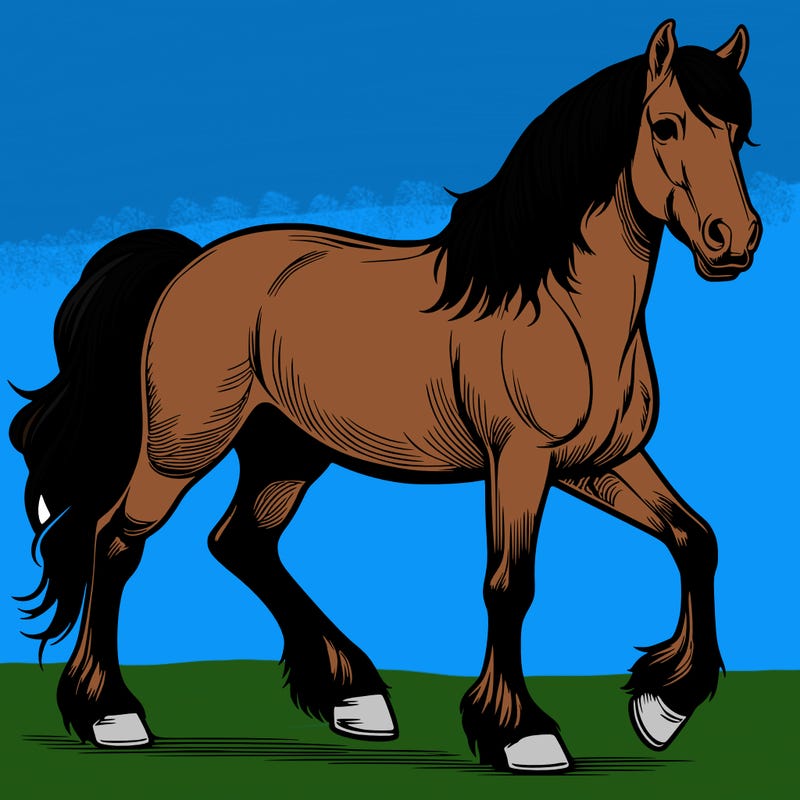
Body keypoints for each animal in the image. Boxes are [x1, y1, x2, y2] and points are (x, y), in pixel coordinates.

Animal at [10, 20, 760, 773]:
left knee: (241, 542)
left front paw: (663, 706)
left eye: (740, 132)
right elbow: (509, 584)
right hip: (182, 446)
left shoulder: (598, 463)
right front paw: (522, 733)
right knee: (115, 541)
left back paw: (355, 696)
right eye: (665, 126)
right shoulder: (519, 461)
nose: (735, 239)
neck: (558, 307)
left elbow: (696, 539)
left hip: (286, 451)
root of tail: (189, 264)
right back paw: (111, 714)